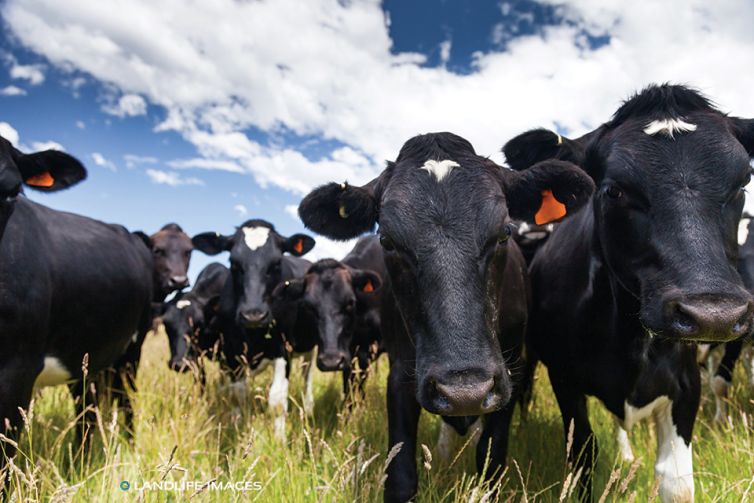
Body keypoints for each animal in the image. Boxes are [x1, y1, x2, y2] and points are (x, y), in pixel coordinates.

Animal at [0, 135, 151, 464]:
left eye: (11, 192)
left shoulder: (17, 369)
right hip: (89, 355)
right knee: (88, 408)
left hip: (131, 352)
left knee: (122, 400)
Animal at [191, 219, 318, 440]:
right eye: (234, 263)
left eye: (276, 263)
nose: (253, 314)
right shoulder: (232, 353)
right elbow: (237, 395)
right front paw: (236, 428)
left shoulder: (283, 349)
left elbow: (277, 400)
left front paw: (279, 440)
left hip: (309, 347)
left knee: (306, 375)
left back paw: (308, 407)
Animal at [296, 132, 592, 502]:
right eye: (387, 240)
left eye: (505, 232)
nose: (465, 392)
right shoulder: (400, 371)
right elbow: (400, 474)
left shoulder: (510, 370)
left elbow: (491, 460)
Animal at [500, 84, 752, 502]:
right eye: (614, 190)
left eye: (743, 183)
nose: (713, 314)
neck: (630, 339)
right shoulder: (564, 379)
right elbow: (582, 454)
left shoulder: (687, 383)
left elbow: (677, 482)